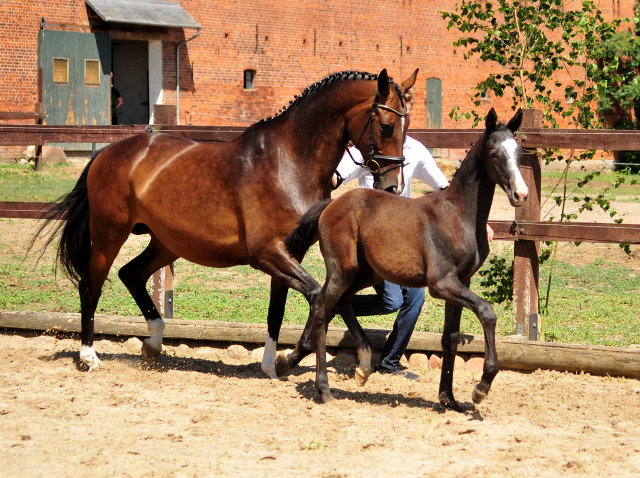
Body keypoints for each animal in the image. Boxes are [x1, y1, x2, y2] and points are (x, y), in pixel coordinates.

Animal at [35, 69, 418, 372]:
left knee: (131, 274)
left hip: (168, 244)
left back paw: (154, 344)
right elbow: (317, 296)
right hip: (109, 234)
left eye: (407, 125)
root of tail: (108, 153)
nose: (392, 187)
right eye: (386, 126)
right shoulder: (266, 253)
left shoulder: (289, 253)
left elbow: (279, 309)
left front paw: (272, 364)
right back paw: (89, 356)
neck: (289, 161)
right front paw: (292, 358)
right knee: (91, 286)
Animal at [284, 108, 524, 410]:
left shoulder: (462, 282)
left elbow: (450, 338)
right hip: (343, 269)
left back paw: (360, 366)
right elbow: (487, 311)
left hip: (367, 272)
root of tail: (332, 204)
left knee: (340, 302)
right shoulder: (441, 283)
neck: (458, 216)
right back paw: (324, 388)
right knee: (321, 311)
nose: (520, 194)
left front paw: (449, 399)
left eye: (519, 151)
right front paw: (481, 387)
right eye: (494, 153)